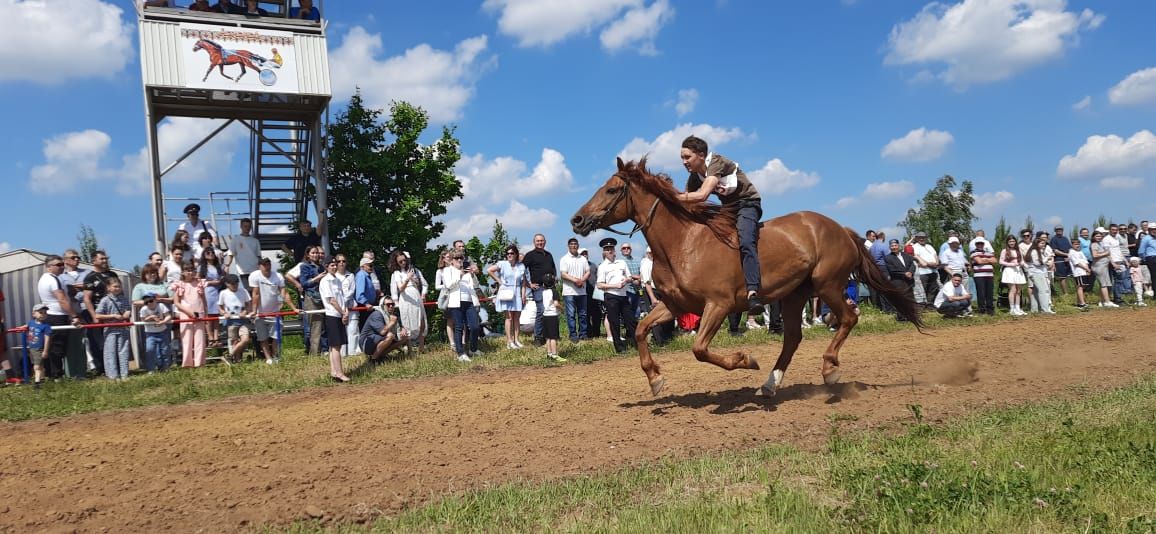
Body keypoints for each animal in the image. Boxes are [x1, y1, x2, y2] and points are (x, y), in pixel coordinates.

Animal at [568, 158, 920, 395]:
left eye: (612, 189)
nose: (577, 219)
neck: (683, 243)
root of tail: (841, 229)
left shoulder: (718, 305)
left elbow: (699, 349)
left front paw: (745, 359)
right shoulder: (676, 306)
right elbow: (641, 330)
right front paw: (655, 379)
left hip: (828, 284)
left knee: (848, 318)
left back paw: (828, 369)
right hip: (795, 294)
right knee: (794, 337)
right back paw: (770, 384)